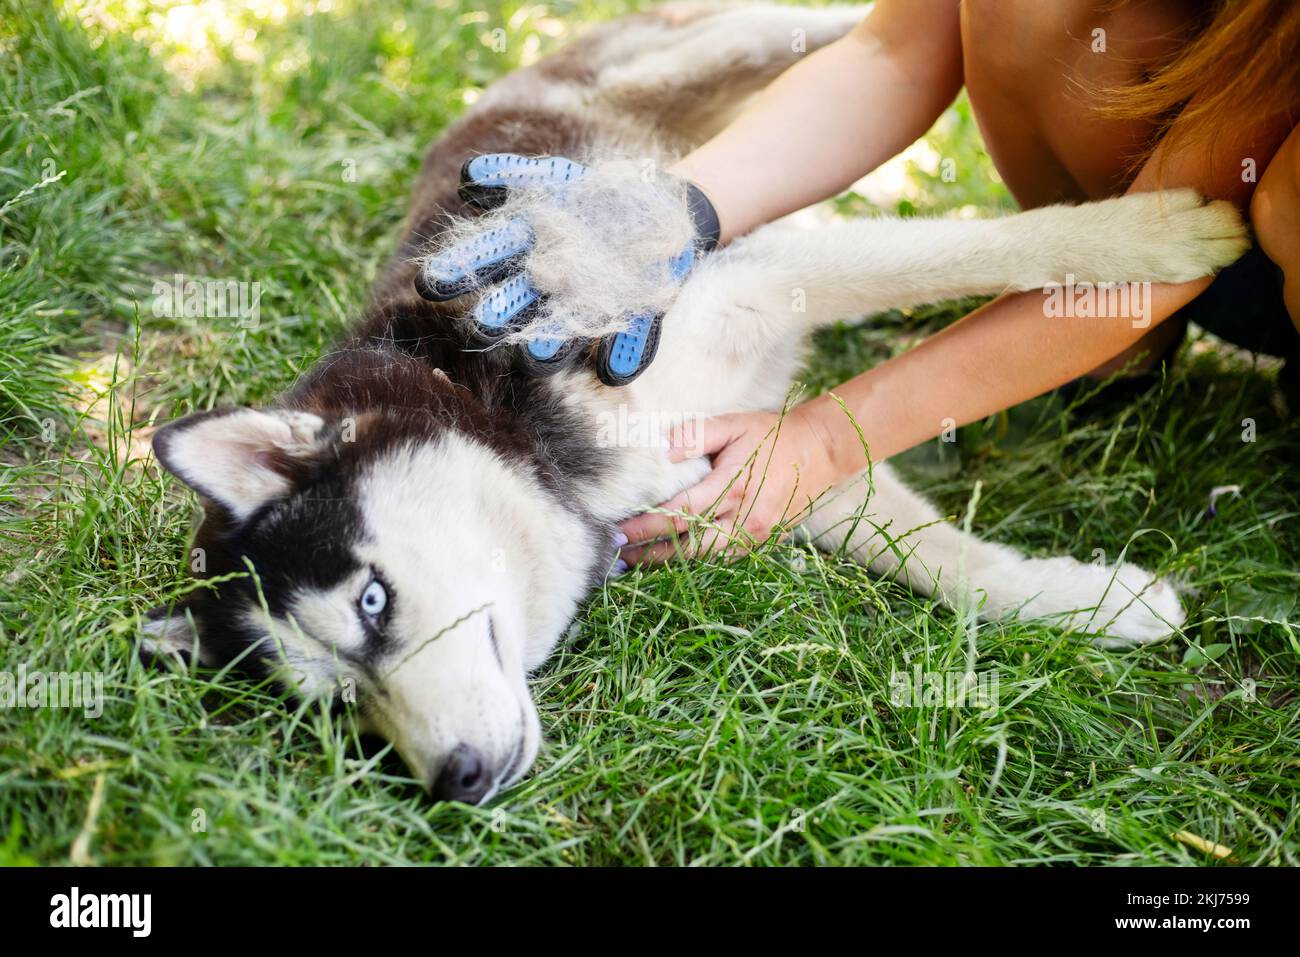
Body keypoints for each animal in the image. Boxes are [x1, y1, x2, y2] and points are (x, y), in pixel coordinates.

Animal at [142, 3, 1248, 806]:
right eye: (339, 712)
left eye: (371, 602)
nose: (454, 783)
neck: (502, 418)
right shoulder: (755, 461)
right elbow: (940, 557)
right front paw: (1097, 602)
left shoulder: (742, 289)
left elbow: (972, 248)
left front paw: (1155, 241)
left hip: (682, 79)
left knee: (767, 33)